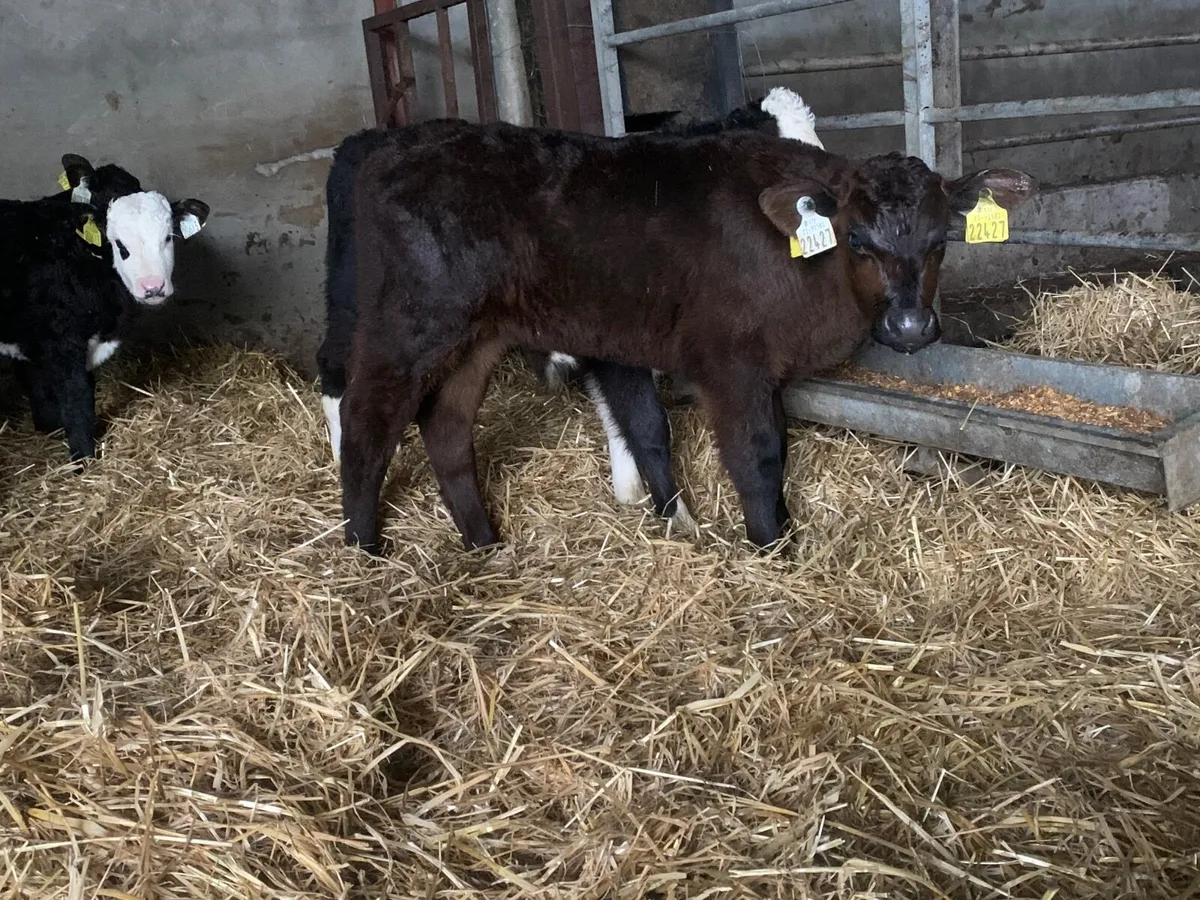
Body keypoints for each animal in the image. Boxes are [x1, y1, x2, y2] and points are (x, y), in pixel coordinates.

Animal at [0, 154, 210, 460]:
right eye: (119, 244)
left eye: (168, 238)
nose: (153, 287)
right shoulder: (62, 342)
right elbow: (77, 398)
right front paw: (83, 457)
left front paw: (49, 427)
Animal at [317, 88, 822, 534]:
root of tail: (372, 139)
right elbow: (648, 426)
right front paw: (678, 519)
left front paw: (631, 493)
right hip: (365, 305)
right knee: (338, 373)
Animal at [336, 119, 1035, 555]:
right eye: (859, 240)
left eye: (941, 240)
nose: (911, 327)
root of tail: (394, 145)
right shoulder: (730, 360)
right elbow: (757, 453)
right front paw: (772, 546)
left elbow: (724, 439)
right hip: (410, 319)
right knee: (367, 418)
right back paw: (364, 552)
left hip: (477, 333)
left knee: (446, 425)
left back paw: (484, 544)